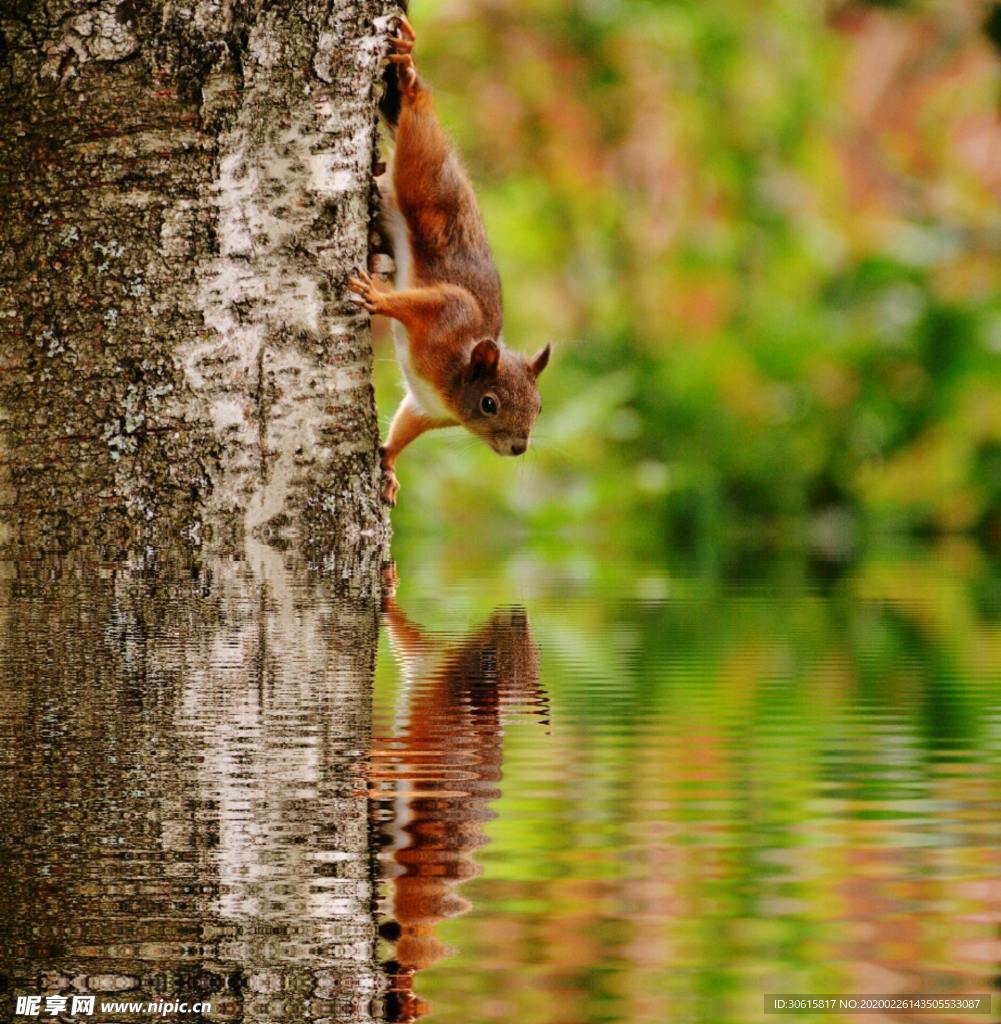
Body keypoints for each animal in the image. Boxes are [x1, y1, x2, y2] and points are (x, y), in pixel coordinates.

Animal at [350, 14, 548, 509]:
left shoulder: (426, 408)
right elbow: (430, 301)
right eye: (489, 403)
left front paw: (389, 466)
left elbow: (404, 427)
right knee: (417, 118)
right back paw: (409, 73)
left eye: (539, 406)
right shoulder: (449, 314)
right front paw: (377, 298)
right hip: (423, 175)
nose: (518, 448)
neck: (453, 381)